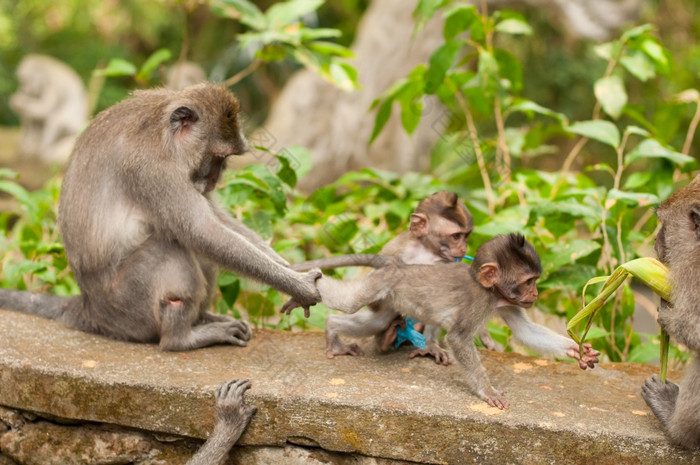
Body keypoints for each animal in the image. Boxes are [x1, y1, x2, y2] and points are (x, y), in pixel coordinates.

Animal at [0, 84, 322, 352]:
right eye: (218, 157)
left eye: (227, 159)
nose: (214, 180)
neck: (163, 133)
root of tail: (89, 308)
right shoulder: (152, 168)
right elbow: (203, 230)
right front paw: (299, 286)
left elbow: (214, 219)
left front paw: (288, 267)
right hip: (126, 307)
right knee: (169, 249)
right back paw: (181, 338)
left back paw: (202, 319)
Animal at [282, 234, 600, 408]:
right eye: (528, 282)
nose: (535, 294)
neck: (489, 290)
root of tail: (398, 265)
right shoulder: (479, 303)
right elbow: (459, 338)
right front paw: (487, 392)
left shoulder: (505, 303)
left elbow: (525, 331)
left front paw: (578, 351)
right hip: (379, 284)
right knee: (349, 302)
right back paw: (307, 291)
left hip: (388, 297)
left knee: (372, 322)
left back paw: (332, 328)